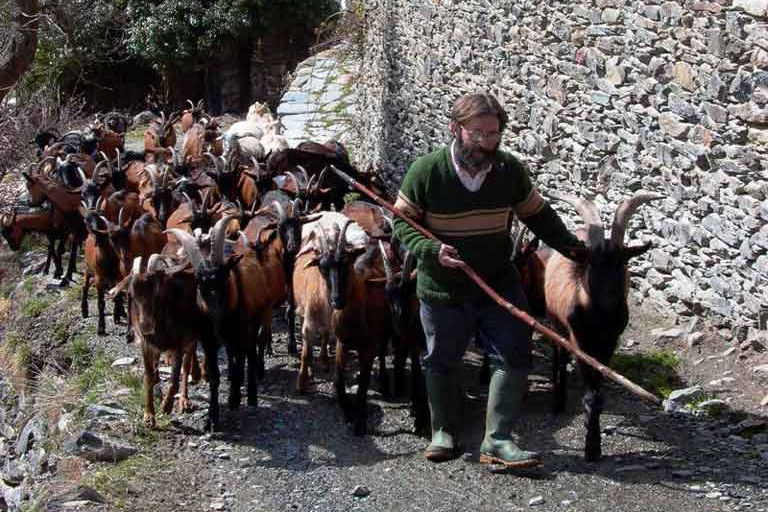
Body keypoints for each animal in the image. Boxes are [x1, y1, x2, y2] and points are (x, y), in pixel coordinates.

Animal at [544, 191, 660, 460]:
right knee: (559, 354)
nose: (608, 300)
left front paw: (593, 440)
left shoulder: (609, 343)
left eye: (622, 262)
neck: (598, 318)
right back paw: (558, 398)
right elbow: (590, 393)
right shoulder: (579, 340)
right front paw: (591, 447)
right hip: (555, 322)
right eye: (592, 263)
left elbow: (598, 390)